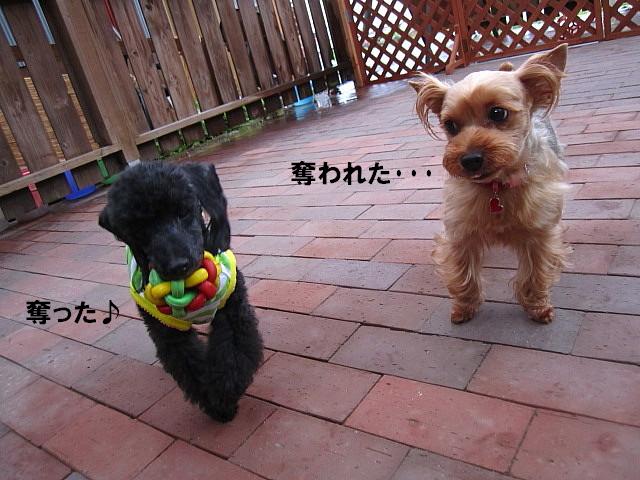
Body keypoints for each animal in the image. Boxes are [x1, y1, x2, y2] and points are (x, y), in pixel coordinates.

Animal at [99, 161, 263, 422]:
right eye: (138, 228)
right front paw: (215, 403)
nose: (177, 266)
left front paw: (224, 393)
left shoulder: (232, 309)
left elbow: (233, 353)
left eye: (184, 211)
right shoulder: (167, 331)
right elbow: (189, 366)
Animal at [410, 44, 570, 324]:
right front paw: (464, 308)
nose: (470, 159)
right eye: (450, 125)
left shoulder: (539, 234)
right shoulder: (461, 232)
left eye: (498, 112)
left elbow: (535, 272)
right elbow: (464, 272)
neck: (497, 186)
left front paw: (538, 307)